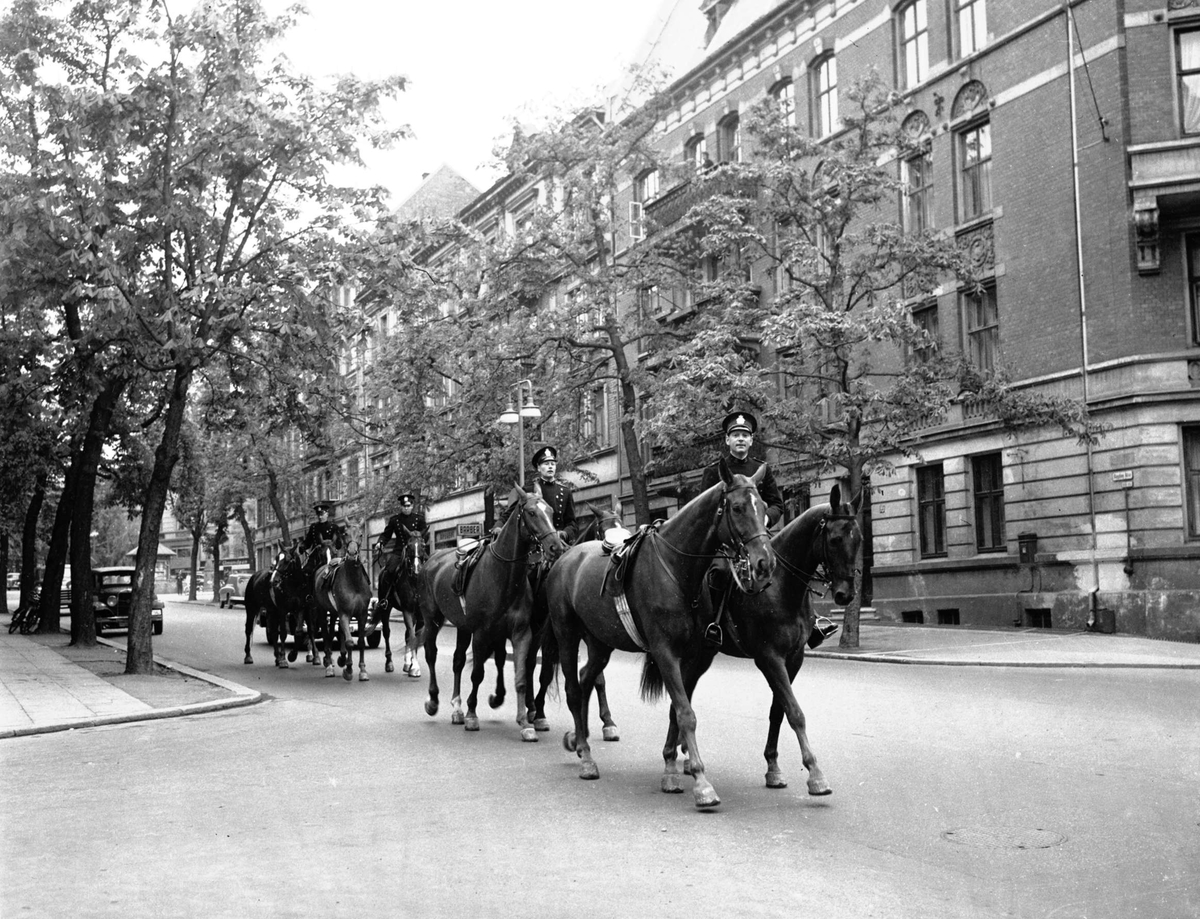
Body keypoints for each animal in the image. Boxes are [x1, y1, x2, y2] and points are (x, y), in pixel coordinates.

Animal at [312, 539, 372, 681]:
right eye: (345, 537)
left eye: (360, 536)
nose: (352, 554)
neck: (354, 582)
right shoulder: (344, 614)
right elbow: (349, 641)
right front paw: (348, 670)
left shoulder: (362, 615)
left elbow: (360, 642)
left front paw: (362, 670)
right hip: (322, 611)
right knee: (326, 634)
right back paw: (329, 665)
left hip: (334, 613)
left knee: (333, 632)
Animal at [417, 489, 566, 739]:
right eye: (532, 512)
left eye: (551, 512)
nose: (556, 546)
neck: (505, 575)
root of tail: (432, 559)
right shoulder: (482, 633)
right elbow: (477, 673)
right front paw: (472, 715)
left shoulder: (522, 633)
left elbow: (521, 675)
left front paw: (525, 722)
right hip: (432, 620)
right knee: (431, 654)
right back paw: (433, 701)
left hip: (463, 626)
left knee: (458, 661)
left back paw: (457, 707)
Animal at [542, 470, 772, 811]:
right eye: (738, 508)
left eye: (765, 506)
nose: (765, 562)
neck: (678, 569)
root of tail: (565, 557)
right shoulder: (665, 653)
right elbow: (686, 714)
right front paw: (701, 783)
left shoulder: (693, 658)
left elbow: (677, 711)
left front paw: (671, 768)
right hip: (567, 636)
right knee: (573, 689)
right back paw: (586, 757)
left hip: (600, 642)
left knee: (586, 680)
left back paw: (580, 741)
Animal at [648, 489, 864, 796]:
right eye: (834, 539)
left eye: (858, 539)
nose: (846, 594)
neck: (781, 587)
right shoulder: (769, 658)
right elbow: (795, 712)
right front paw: (815, 774)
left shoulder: (793, 659)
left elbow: (778, 712)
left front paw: (773, 767)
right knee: (678, 703)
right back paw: (674, 761)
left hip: (702, 657)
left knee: (683, 698)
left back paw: (685, 758)